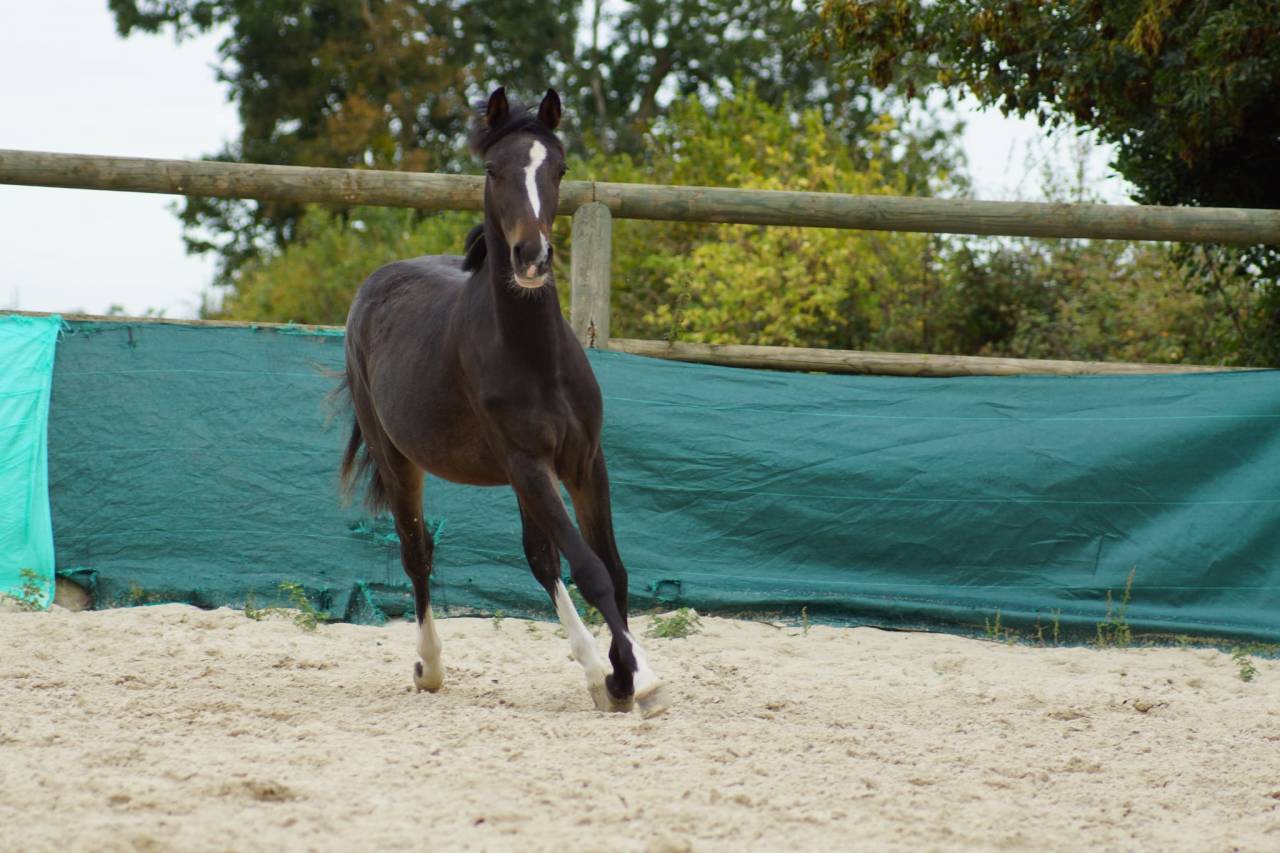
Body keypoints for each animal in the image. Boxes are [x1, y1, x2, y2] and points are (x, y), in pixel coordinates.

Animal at [340, 87, 666, 716]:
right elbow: (590, 568)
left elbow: (611, 567)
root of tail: (374, 285)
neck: (535, 357)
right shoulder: (527, 463)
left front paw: (624, 678)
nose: (532, 257)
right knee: (417, 552)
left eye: (559, 168)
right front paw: (638, 680)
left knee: (538, 557)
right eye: (493, 170)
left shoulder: (585, 462)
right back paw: (431, 668)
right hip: (399, 460)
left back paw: (594, 673)